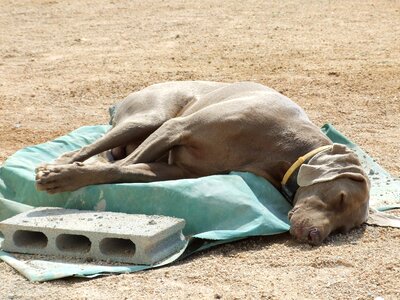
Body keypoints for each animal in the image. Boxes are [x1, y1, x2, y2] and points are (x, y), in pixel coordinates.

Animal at [36, 81, 370, 244]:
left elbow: (124, 169)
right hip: (152, 116)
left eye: (344, 229)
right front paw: (63, 176)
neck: (282, 143)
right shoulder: (175, 129)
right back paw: (61, 162)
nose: (316, 238)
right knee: (94, 147)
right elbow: (117, 166)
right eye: (340, 197)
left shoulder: (175, 169)